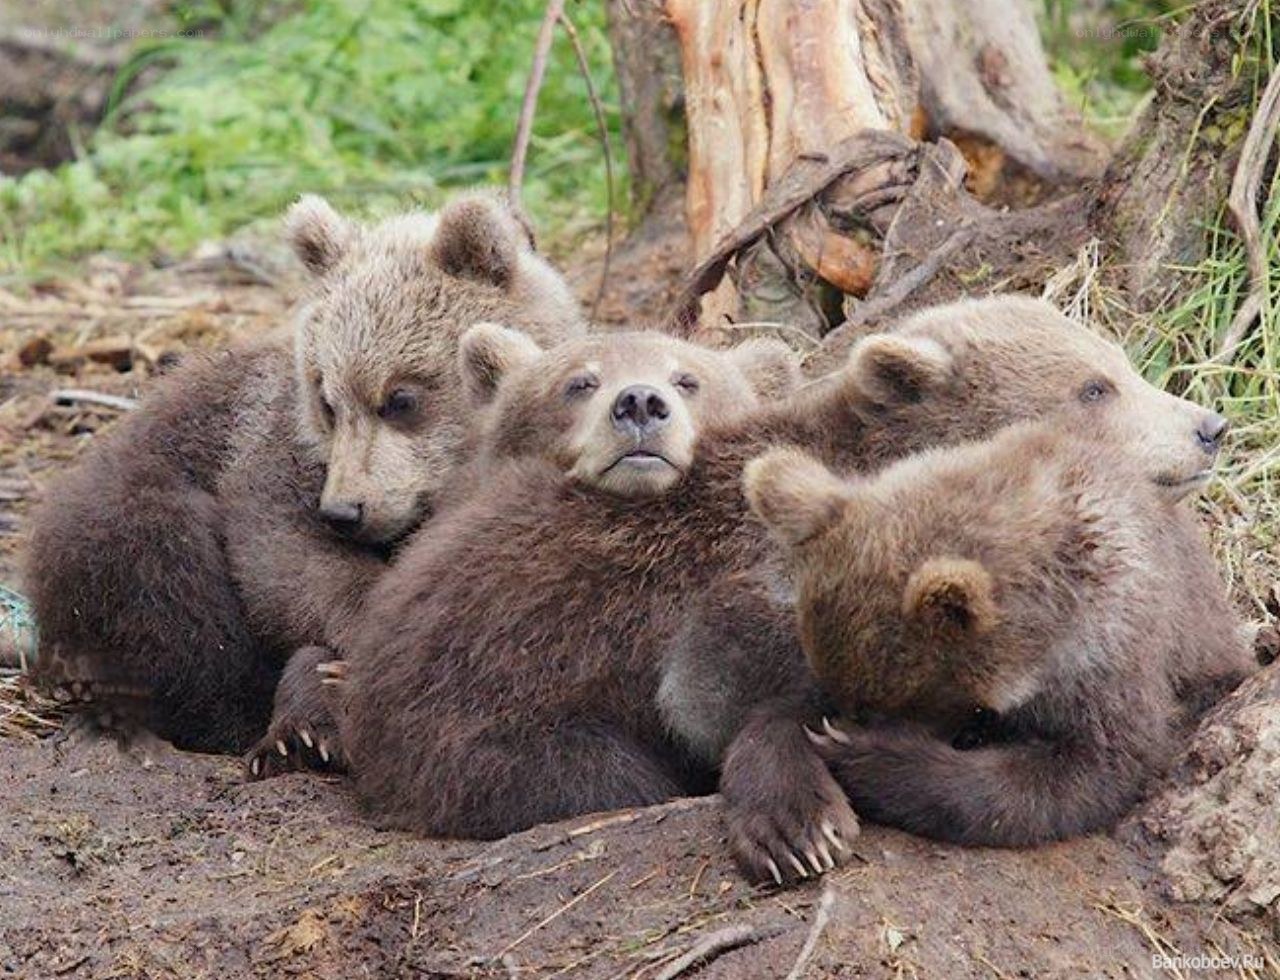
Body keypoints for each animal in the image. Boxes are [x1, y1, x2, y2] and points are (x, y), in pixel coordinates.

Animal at [25, 190, 585, 762]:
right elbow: (290, 559)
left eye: (400, 398)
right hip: (119, 518)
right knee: (166, 580)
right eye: (327, 399)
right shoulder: (273, 450)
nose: (344, 511)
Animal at [741, 418, 1250, 861]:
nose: (847, 720)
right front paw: (796, 830)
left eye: (878, 705)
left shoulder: (1113, 647)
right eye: (849, 695)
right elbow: (774, 714)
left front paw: (862, 753)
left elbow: (1085, 771)